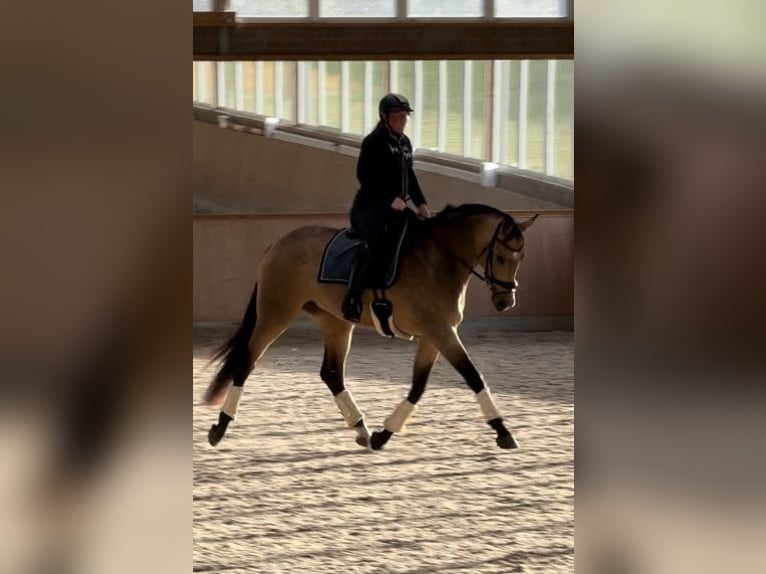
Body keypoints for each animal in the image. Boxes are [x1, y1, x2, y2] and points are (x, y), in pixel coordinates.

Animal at [204, 205, 540, 452]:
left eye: (522, 257)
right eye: (500, 257)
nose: (505, 301)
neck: (439, 260)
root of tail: (279, 243)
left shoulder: (435, 335)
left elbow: (418, 386)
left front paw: (383, 434)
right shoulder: (441, 331)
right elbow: (473, 376)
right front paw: (503, 430)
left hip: (335, 323)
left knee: (332, 374)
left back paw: (362, 429)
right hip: (275, 315)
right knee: (246, 364)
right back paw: (219, 428)